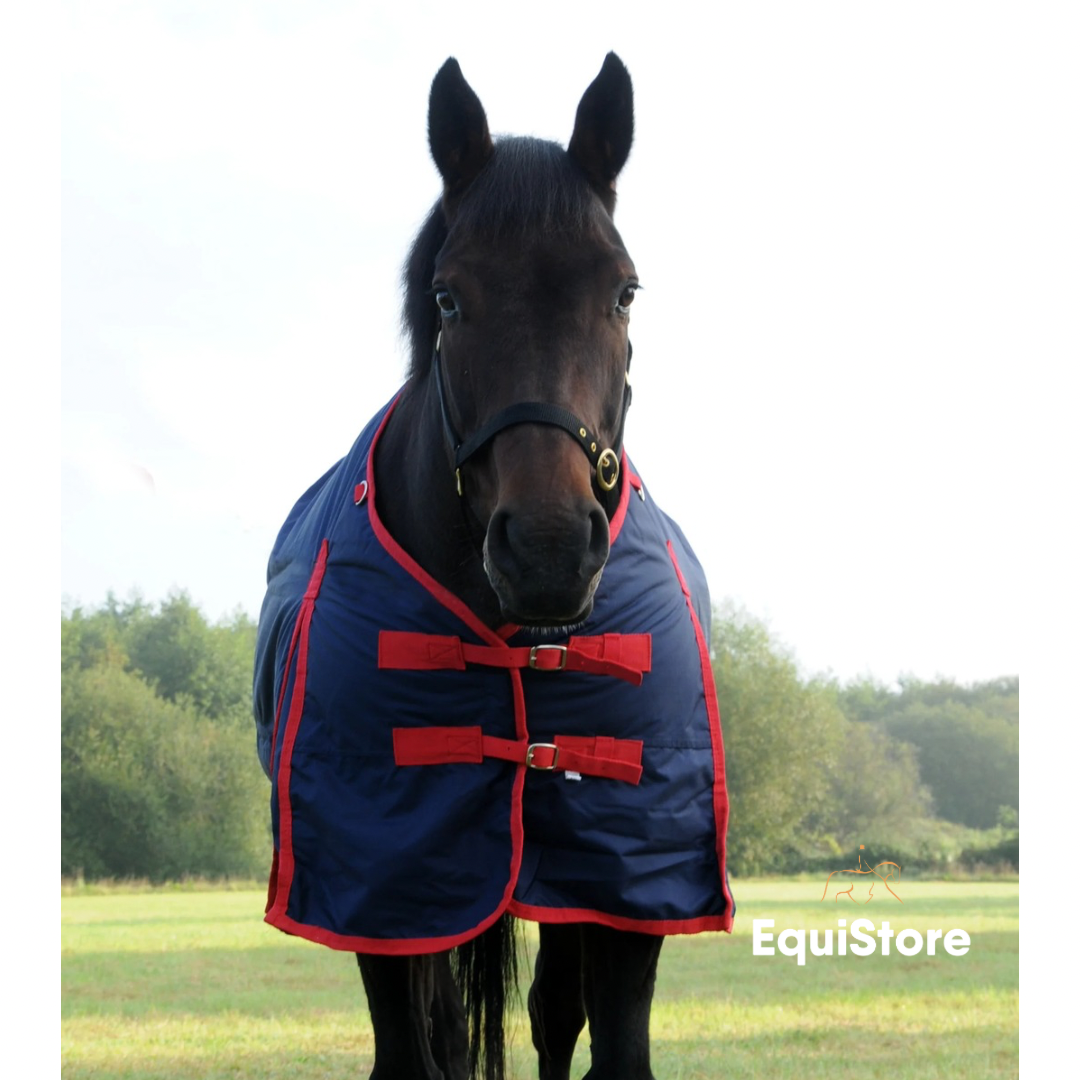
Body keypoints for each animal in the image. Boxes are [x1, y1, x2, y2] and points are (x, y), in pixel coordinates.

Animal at [254, 54, 733, 1080]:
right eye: (448, 296)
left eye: (624, 291)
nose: (548, 548)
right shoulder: (387, 880)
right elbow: (412, 1049)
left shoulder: (624, 888)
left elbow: (607, 1043)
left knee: (553, 1012)